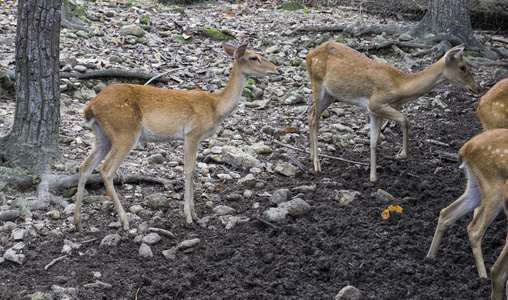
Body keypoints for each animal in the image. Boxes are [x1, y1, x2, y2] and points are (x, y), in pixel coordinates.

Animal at [74, 41, 282, 230]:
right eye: (254, 57)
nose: (277, 69)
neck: (215, 107)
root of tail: (90, 107)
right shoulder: (192, 133)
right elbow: (189, 171)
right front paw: (189, 217)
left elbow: (191, 170)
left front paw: (195, 215)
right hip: (124, 131)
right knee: (106, 170)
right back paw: (125, 222)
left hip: (103, 135)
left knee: (85, 166)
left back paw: (78, 223)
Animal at [308, 41, 478, 183]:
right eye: (462, 67)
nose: (476, 87)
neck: (399, 86)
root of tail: (310, 54)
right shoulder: (376, 103)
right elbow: (405, 120)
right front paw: (398, 156)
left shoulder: (374, 111)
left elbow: (374, 142)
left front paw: (373, 178)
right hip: (317, 82)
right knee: (315, 119)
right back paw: (317, 165)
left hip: (331, 95)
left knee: (310, 112)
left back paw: (311, 157)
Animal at [426, 128, 508, 300]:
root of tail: (464, 150)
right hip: (494, 185)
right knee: (474, 229)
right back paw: (483, 277)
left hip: (475, 185)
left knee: (446, 213)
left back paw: (430, 257)